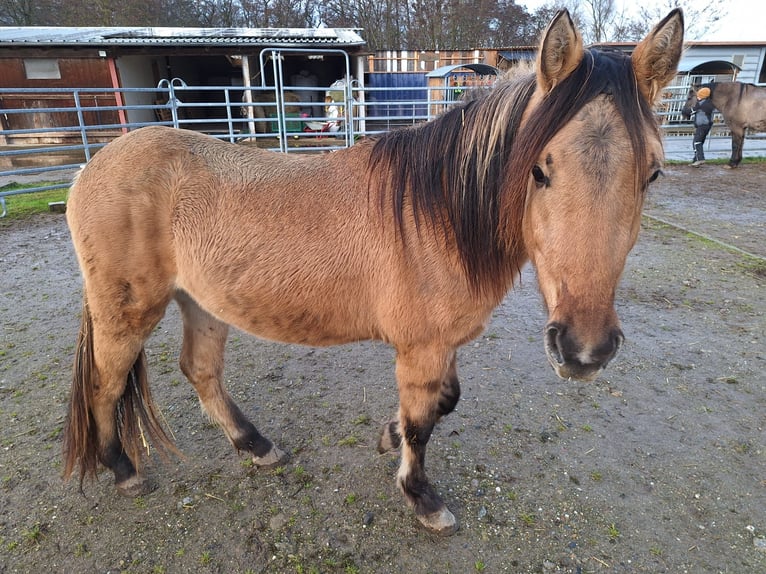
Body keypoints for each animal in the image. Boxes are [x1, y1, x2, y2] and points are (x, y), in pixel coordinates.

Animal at [62, 9, 684, 535]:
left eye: (653, 173)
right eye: (539, 169)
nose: (584, 350)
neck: (440, 214)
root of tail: (93, 167)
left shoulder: (441, 345)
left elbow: (444, 402)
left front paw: (387, 438)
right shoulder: (421, 348)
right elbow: (423, 421)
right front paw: (421, 496)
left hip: (202, 302)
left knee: (200, 371)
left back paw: (256, 446)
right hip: (127, 311)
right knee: (105, 382)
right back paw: (123, 470)